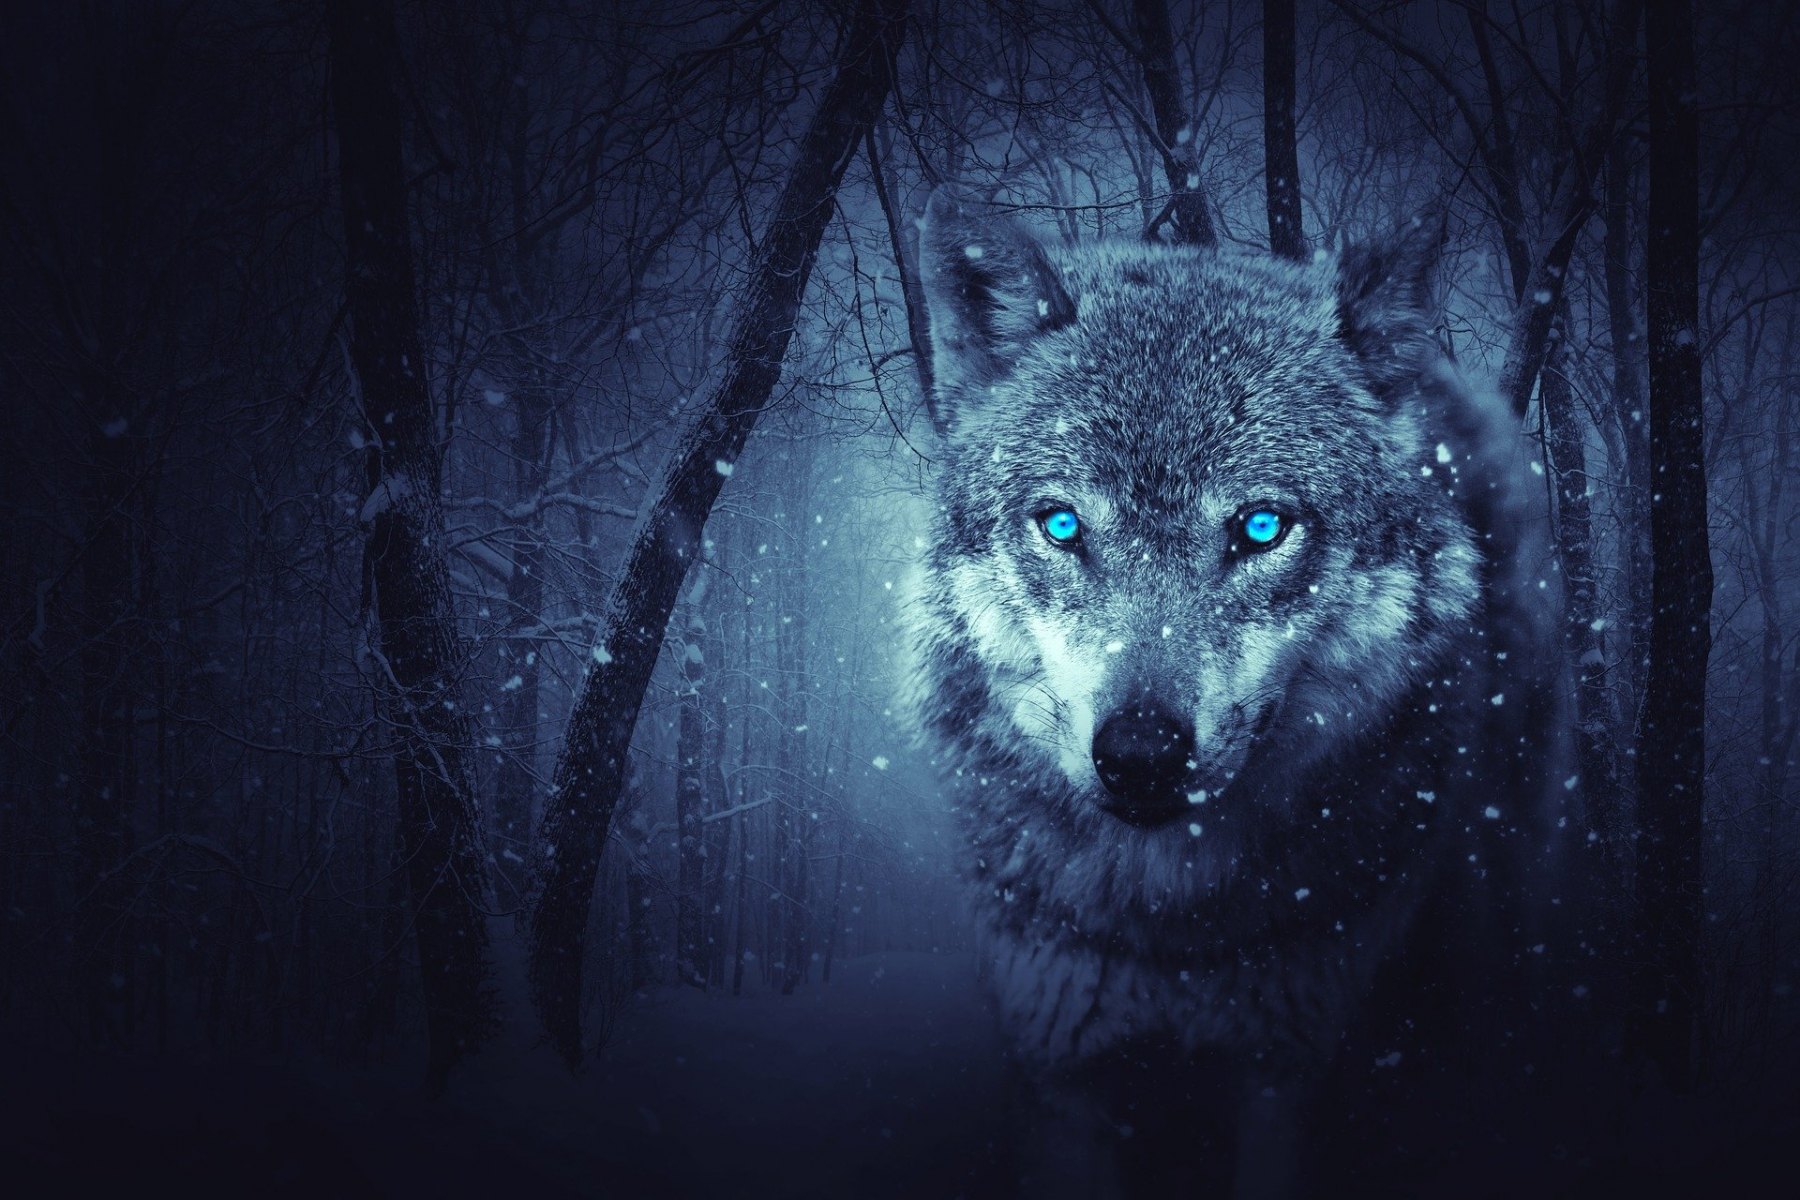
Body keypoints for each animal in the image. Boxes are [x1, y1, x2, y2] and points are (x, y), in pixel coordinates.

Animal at [902, 190, 1564, 1196]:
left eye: (1259, 528)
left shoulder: (1291, 1076)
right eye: (1062, 525)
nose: (1140, 754)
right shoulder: (1063, 1076)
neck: (1172, 933)